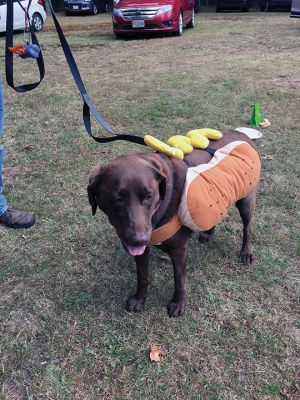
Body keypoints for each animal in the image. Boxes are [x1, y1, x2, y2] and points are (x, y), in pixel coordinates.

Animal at [87, 130, 260, 318]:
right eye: (117, 198)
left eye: (149, 196)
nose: (139, 239)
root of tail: (242, 133)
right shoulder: (142, 250)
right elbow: (142, 276)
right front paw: (140, 299)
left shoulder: (179, 250)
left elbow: (179, 279)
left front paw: (178, 303)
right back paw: (208, 233)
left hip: (246, 201)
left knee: (248, 228)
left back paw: (246, 252)